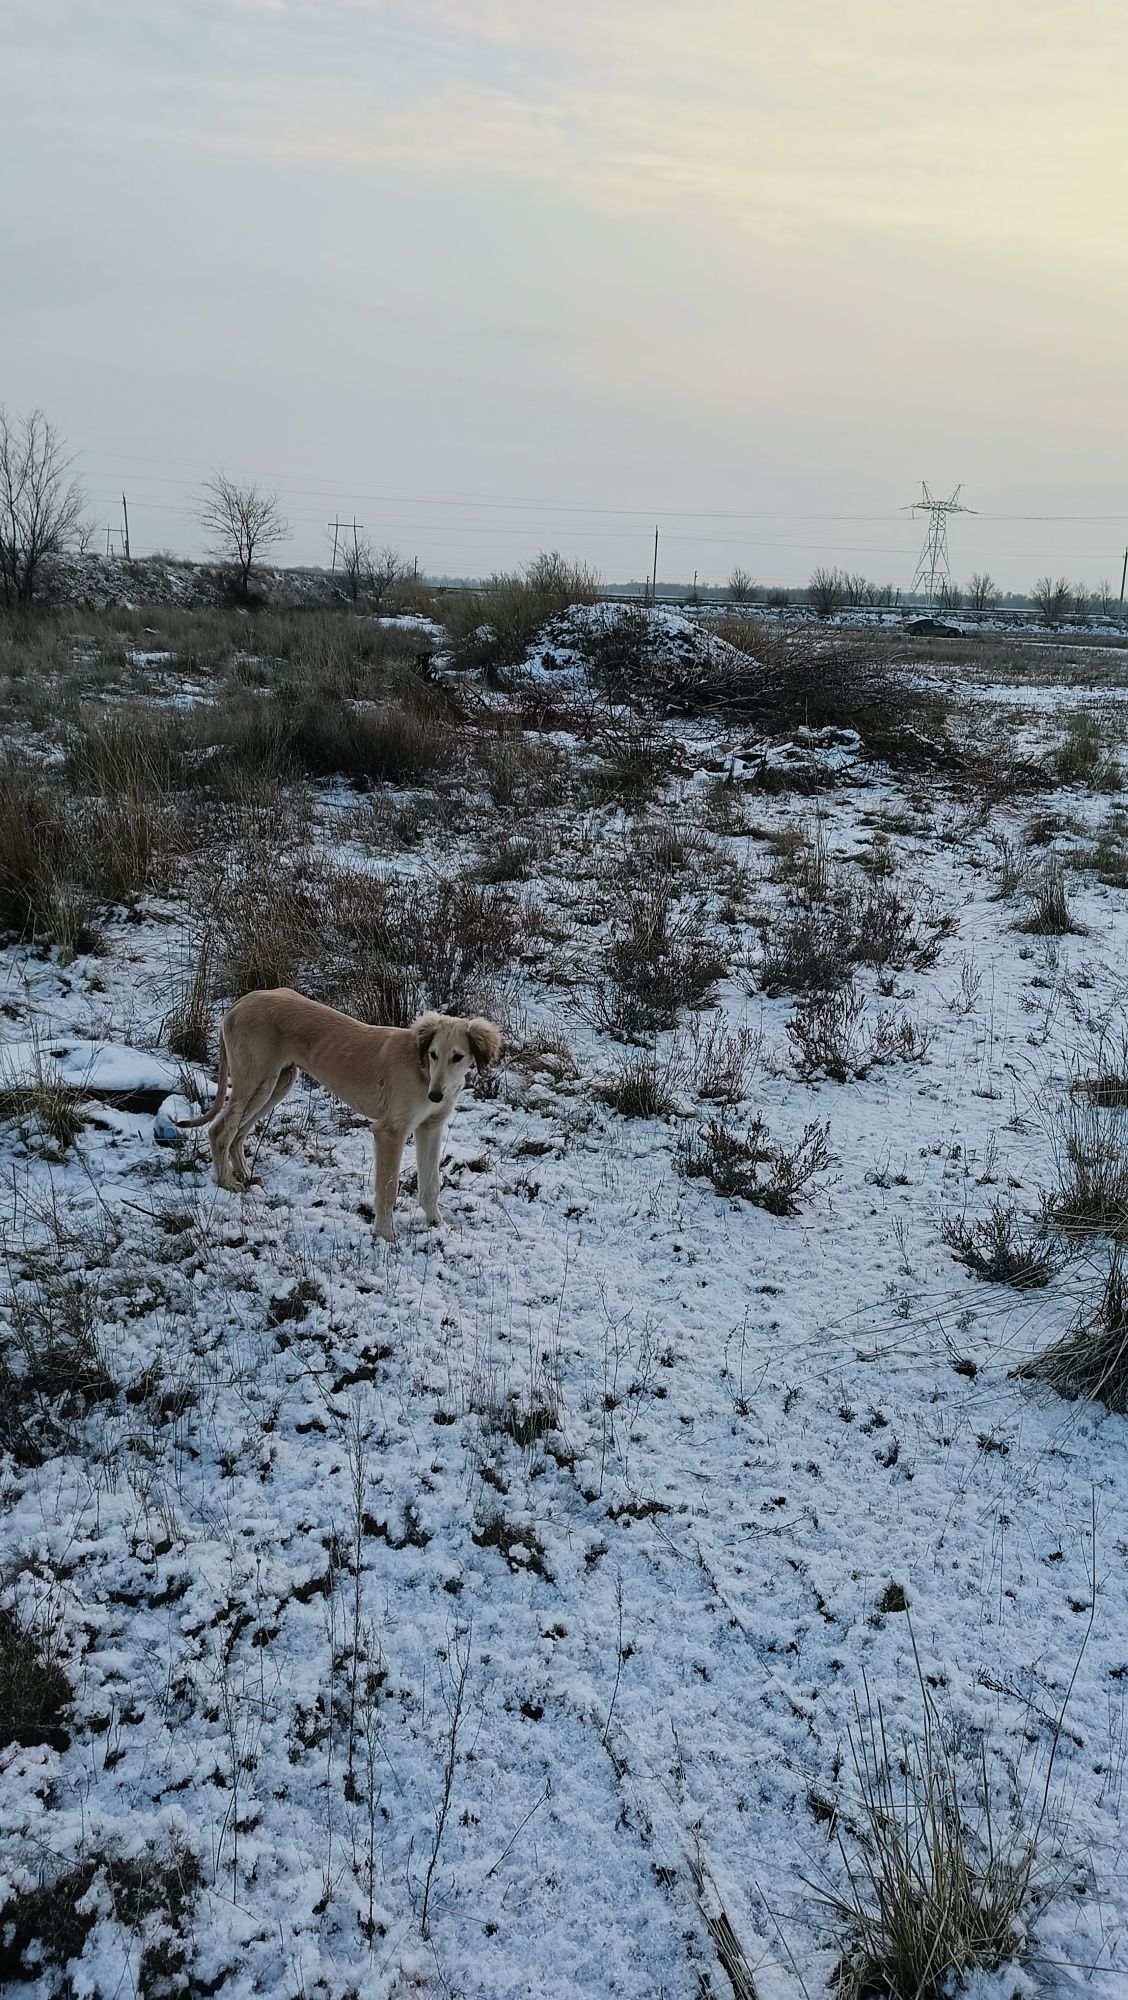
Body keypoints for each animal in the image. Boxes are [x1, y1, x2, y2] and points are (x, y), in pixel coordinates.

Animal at [177, 992, 502, 1240]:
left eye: (457, 1056)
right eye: (433, 1054)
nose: (436, 1096)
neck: (421, 1069)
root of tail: (239, 1003)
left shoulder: (430, 1127)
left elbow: (431, 1183)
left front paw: (437, 1224)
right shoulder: (390, 1132)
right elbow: (388, 1188)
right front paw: (385, 1235)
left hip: (277, 1083)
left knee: (239, 1131)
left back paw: (242, 1173)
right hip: (254, 1081)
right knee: (221, 1130)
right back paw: (225, 1182)